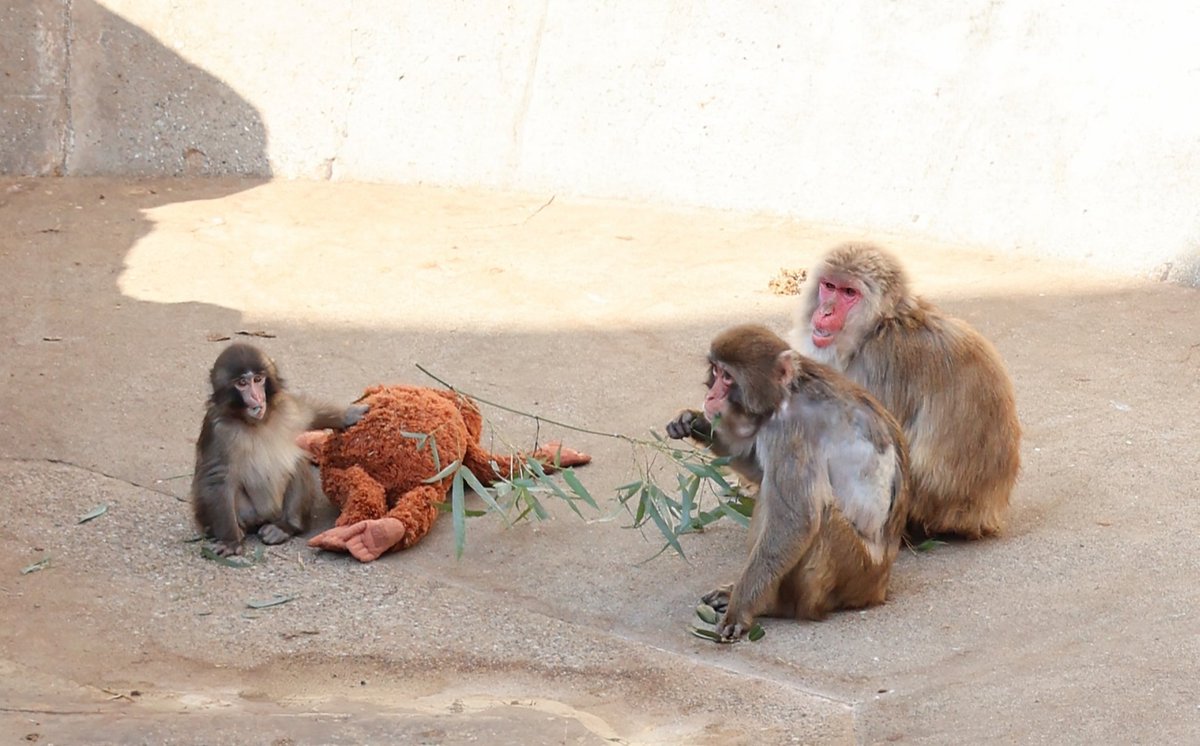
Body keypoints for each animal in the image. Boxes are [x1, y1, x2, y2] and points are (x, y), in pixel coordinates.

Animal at [190, 343, 367, 556]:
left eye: (258, 379)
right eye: (242, 383)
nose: (257, 396)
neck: (256, 423)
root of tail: (265, 517)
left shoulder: (286, 407)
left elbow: (310, 413)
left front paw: (349, 415)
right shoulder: (218, 430)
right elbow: (217, 478)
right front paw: (230, 540)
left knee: (296, 462)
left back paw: (286, 526)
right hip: (248, 511)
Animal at [666, 324, 910, 640]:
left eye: (728, 377)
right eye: (716, 371)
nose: (711, 396)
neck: (788, 392)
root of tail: (881, 587)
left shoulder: (789, 431)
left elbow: (797, 520)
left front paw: (740, 609)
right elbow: (758, 471)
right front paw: (693, 422)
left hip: (857, 570)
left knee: (816, 515)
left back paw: (774, 605)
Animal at [787, 242, 1021, 539]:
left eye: (849, 292)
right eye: (829, 286)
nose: (826, 310)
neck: (882, 323)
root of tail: (984, 515)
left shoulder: (878, 363)